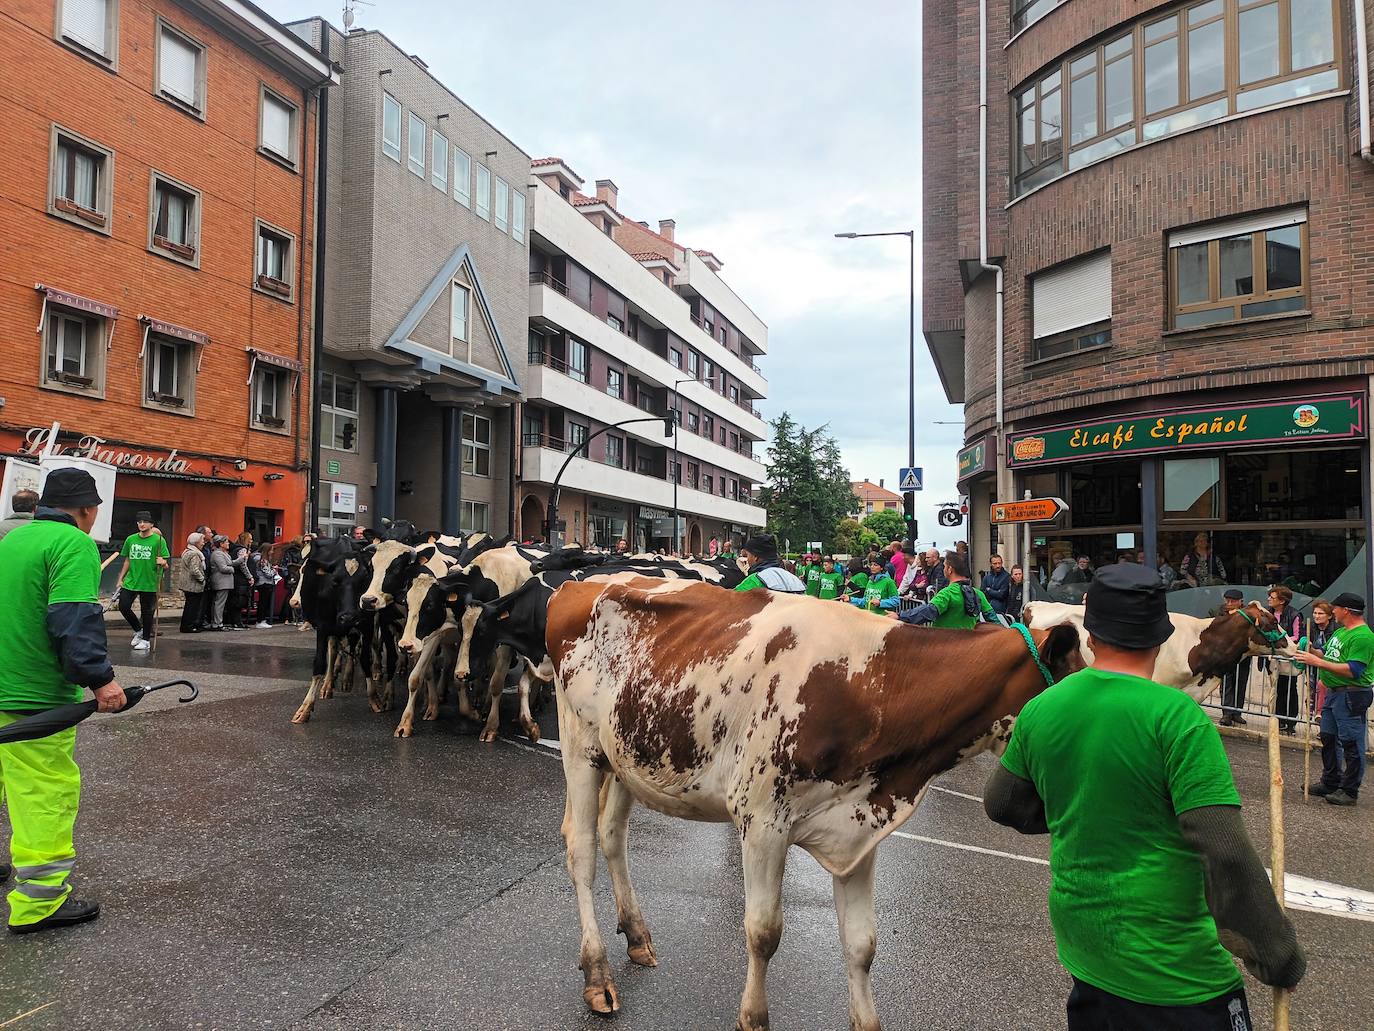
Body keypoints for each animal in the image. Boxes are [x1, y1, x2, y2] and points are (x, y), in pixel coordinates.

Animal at [544, 577, 1082, 1028]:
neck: (870, 685)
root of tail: (577, 584)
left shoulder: (861, 826)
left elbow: (862, 944)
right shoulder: (762, 822)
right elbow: (763, 932)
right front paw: (753, 1018)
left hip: (627, 757)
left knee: (613, 836)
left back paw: (637, 936)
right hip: (579, 742)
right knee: (582, 848)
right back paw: (597, 976)